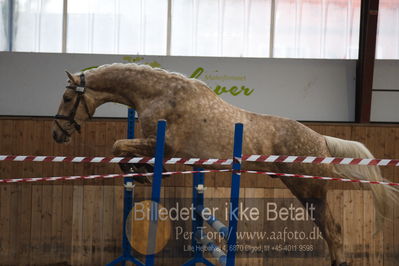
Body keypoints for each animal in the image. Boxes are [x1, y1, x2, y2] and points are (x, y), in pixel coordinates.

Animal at [51, 62, 398, 266]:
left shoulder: (163, 145)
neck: (160, 94)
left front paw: (142, 174)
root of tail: (320, 141)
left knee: (334, 232)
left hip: (309, 191)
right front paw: (139, 173)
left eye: (67, 99)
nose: (57, 134)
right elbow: (122, 149)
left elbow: (119, 146)